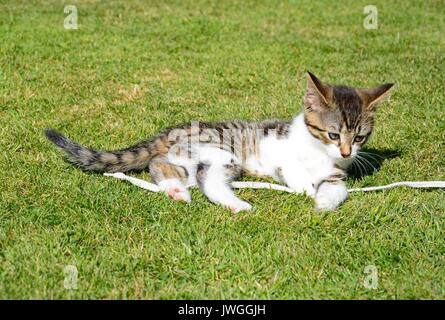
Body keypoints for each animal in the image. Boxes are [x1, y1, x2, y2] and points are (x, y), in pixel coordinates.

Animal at [46, 72, 392, 212]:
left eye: (359, 136)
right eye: (333, 134)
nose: (346, 152)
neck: (318, 152)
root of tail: (172, 131)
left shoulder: (335, 175)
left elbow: (337, 191)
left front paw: (322, 202)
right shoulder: (278, 148)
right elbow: (292, 169)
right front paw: (306, 187)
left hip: (199, 158)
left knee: (164, 165)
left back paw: (179, 191)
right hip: (221, 151)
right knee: (200, 176)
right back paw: (234, 203)